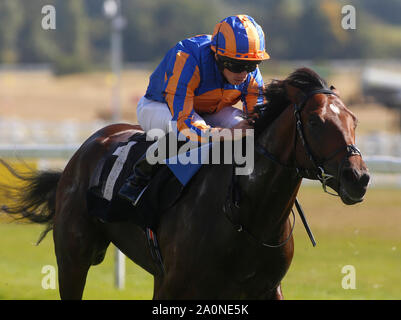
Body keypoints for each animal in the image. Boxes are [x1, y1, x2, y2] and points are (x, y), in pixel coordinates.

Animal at [0, 68, 368, 300]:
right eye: (315, 120)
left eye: (353, 119)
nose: (359, 177)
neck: (246, 216)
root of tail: (85, 149)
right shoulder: (176, 286)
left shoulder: (265, 288)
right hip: (73, 258)